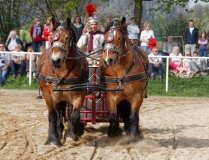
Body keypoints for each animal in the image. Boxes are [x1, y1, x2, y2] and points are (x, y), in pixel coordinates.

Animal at [36, 18, 88, 146]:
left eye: (67, 37)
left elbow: (74, 115)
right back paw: (59, 132)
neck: (62, 69)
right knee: (59, 113)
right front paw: (53, 139)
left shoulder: (79, 94)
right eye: (52, 37)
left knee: (68, 112)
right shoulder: (49, 94)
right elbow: (53, 115)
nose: (56, 60)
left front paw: (70, 135)